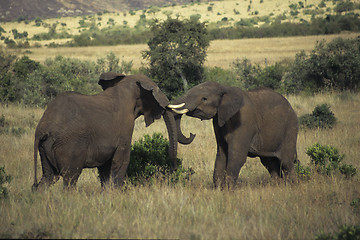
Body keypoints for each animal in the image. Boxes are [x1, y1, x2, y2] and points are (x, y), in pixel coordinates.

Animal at [32, 73, 187, 189]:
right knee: (70, 179)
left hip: (45, 148)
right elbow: (122, 160)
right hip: (68, 145)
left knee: (48, 178)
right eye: (157, 90)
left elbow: (105, 167)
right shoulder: (126, 126)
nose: (174, 169)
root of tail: (41, 130)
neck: (125, 85)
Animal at [170, 82, 300, 189]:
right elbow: (221, 154)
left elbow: (236, 156)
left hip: (290, 128)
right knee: (270, 163)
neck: (225, 88)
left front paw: (228, 192)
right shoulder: (218, 120)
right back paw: (278, 187)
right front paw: (219, 191)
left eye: (204, 98)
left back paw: (292, 188)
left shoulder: (244, 121)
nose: (192, 134)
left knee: (286, 162)